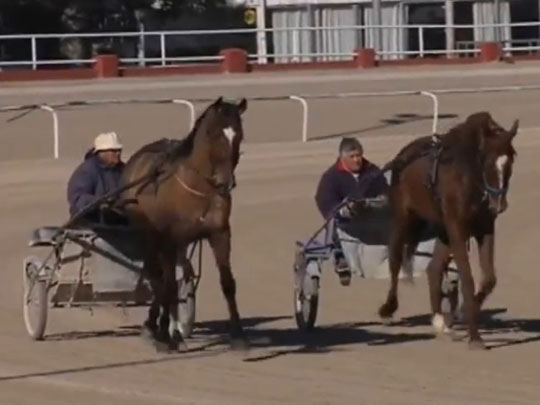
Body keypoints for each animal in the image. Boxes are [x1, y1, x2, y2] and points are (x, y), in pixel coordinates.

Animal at [119, 95, 247, 350]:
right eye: (214, 134)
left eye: (239, 135)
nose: (225, 182)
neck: (199, 189)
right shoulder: (168, 238)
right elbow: (168, 286)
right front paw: (164, 335)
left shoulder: (219, 233)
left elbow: (227, 282)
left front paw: (238, 333)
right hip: (149, 236)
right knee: (157, 276)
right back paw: (156, 326)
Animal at [380, 112, 520, 348]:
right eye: (487, 161)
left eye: (510, 161)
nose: (499, 204)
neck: (468, 177)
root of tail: (403, 157)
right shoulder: (457, 227)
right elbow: (468, 279)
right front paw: (475, 337)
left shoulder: (484, 228)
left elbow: (489, 278)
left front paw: (464, 311)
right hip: (403, 218)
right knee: (395, 260)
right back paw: (388, 307)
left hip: (442, 228)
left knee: (434, 268)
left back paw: (439, 320)